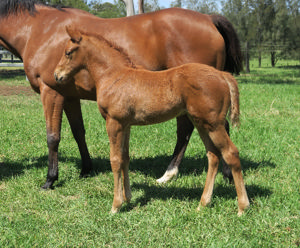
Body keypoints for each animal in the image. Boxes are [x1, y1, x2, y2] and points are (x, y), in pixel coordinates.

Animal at [0, 0, 243, 189]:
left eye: (67, 53)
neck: (39, 29)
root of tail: (209, 18)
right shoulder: (69, 96)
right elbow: (79, 132)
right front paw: (86, 169)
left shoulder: (51, 92)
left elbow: (53, 137)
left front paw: (50, 179)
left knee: (198, 129)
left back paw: (208, 174)